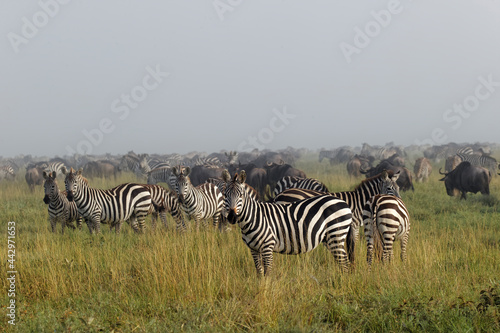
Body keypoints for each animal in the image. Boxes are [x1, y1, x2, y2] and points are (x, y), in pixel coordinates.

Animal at [221, 169, 354, 274]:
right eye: (224, 195)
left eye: (241, 195)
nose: (232, 216)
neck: (253, 218)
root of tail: (344, 203)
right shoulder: (253, 249)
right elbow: (259, 272)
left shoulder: (267, 246)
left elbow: (267, 273)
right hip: (329, 238)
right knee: (342, 262)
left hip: (336, 234)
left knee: (344, 263)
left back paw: (342, 284)